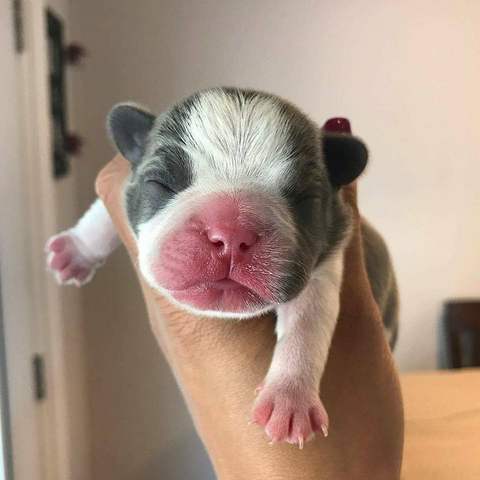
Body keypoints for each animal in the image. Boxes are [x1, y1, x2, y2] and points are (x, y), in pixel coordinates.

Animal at [46, 88, 398, 448]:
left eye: (305, 198)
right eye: (161, 183)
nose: (230, 233)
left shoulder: (325, 265)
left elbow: (307, 325)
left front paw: (290, 399)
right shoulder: (124, 188)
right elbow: (101, 214)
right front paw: (76, 249)